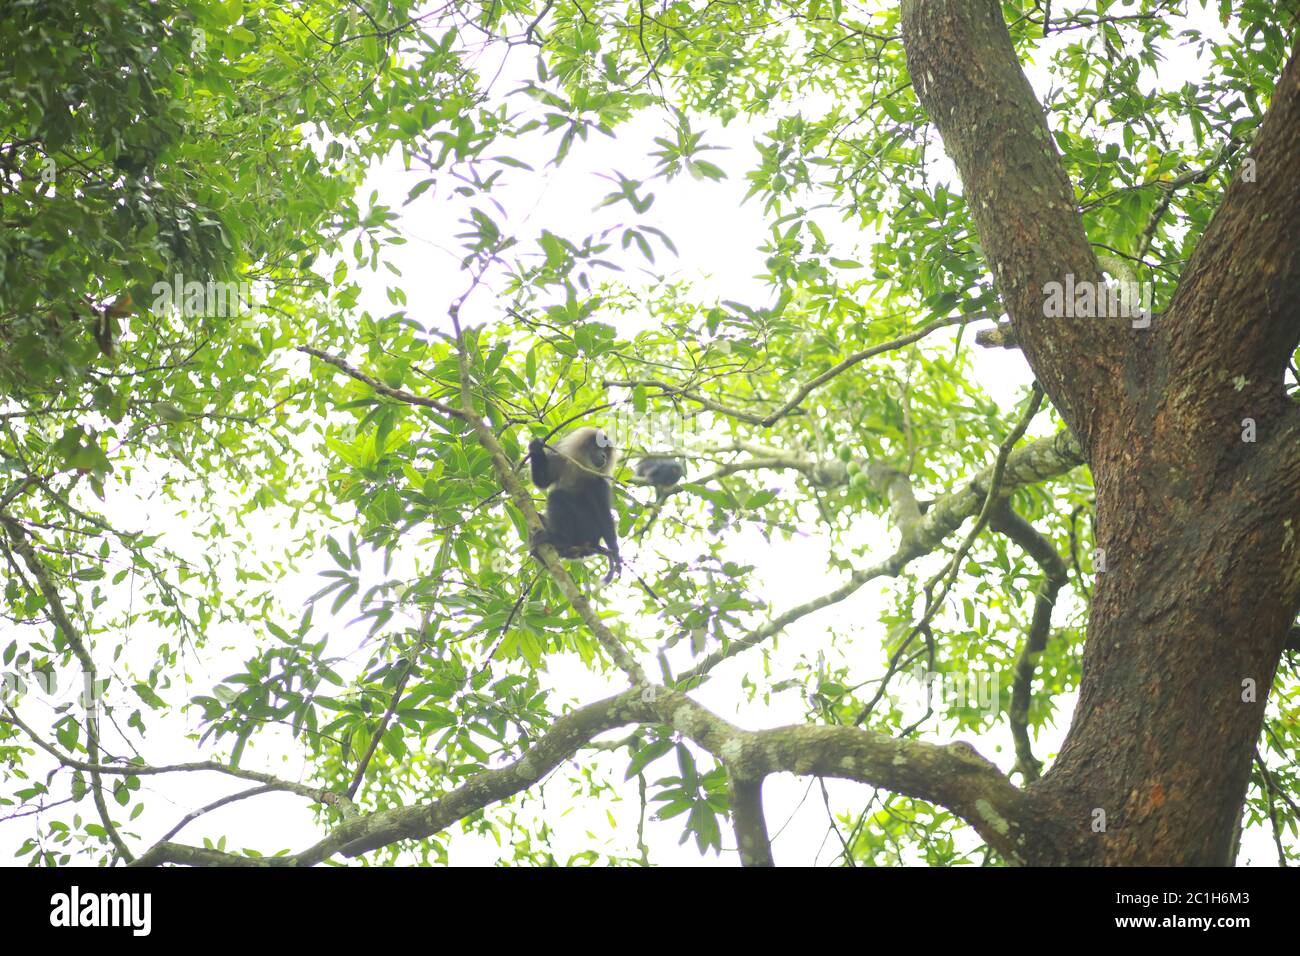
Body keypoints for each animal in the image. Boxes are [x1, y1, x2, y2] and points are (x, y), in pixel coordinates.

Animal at [528, 426, 620, 582]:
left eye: (607, 453)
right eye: (600, 448)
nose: (604, 457)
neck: (581, 468)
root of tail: (594, 542)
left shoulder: (599, 482)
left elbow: (604, 515)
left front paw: (617, 554)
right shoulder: (562, 460)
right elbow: (542, 480)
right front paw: (536, 447)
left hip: (588, 527)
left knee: (557, 496)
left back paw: (560, 540)